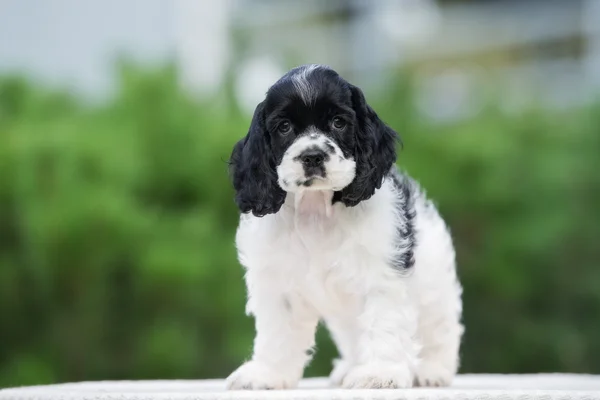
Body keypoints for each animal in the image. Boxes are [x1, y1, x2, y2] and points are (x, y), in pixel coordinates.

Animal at [225, 64, 464, 390]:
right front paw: (266, 373)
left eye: (338, 122)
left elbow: (384, 324)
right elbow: (277, 333)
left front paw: (380, 373)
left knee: (439, 329)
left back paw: (432, 370)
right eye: (284, 127)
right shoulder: (277, 284)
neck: (317, 211)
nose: (312, 156)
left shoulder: (382, 276)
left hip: (434, 284)